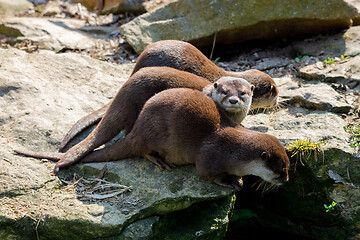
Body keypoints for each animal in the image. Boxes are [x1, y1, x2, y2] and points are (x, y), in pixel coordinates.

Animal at [14, 88, 290, 189]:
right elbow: (207, 174)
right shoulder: (211, 157)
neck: (236, 151)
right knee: (144, 151)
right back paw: (161, 162)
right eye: (279, 170)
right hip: (154, 135)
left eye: (288, 168)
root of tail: (137, 129)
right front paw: (233, 182)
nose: (286, 180)